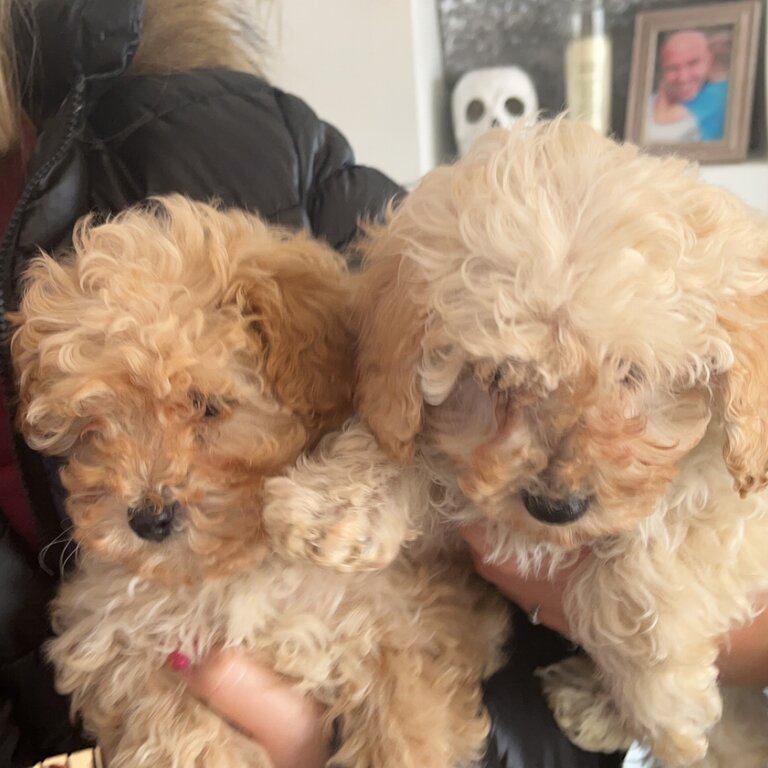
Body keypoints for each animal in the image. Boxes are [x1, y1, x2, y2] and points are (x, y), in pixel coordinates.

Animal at [10, 196, 510, 768]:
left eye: (208, 406)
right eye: (92, 426)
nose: (148, 519)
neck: (239, 571)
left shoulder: (413, 621)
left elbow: (408, 724)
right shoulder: (120, 643)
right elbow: (175, 728)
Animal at [270, 123, 768, 764]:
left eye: (629, 372)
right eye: (497, 375)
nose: (555, 507)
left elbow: (656, 549)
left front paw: (665, 708)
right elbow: (412, 444)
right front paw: (338, 504)